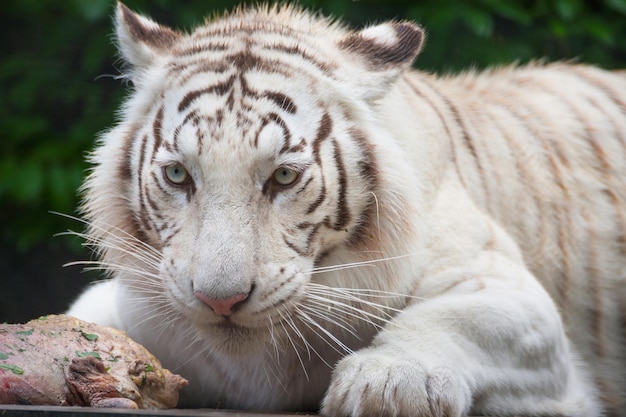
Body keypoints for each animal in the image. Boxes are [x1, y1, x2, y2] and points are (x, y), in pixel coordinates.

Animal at [66, 1, 620, 414]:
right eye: (179, 175)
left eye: (283, 176)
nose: (220, 301)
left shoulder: (514, 298)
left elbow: (454, 318)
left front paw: (388, 382)